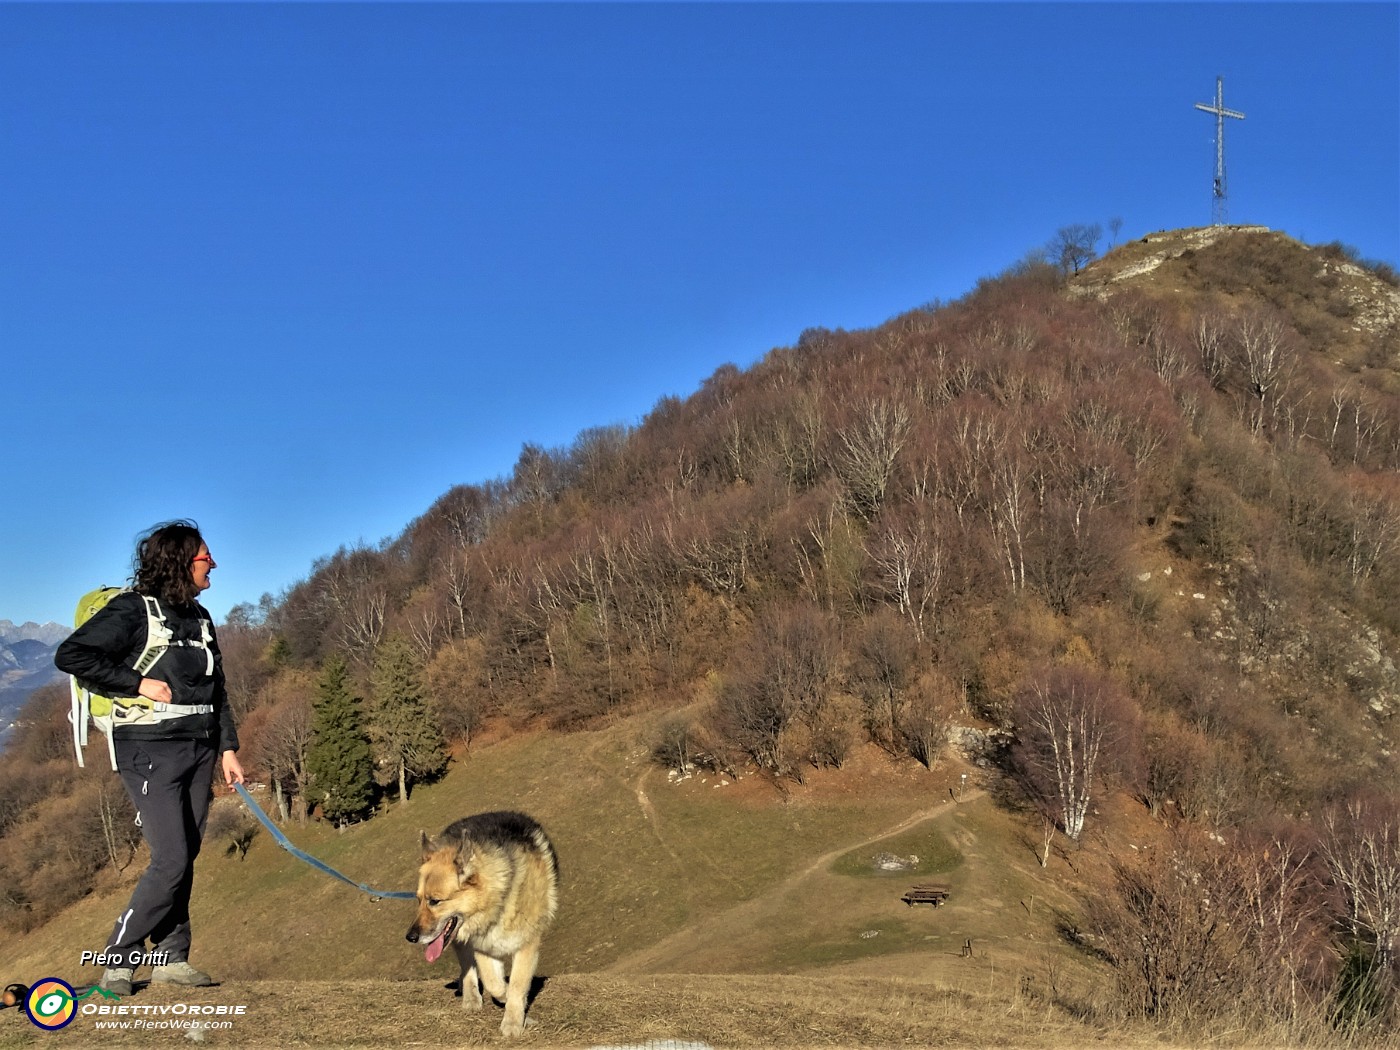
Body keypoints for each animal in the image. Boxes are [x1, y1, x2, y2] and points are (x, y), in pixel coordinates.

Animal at [406, 812, 557, 1036]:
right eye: (419, 900)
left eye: (435, 901)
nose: (410, 937)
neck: (498, 898)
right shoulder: (482, 945)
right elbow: (495, 984)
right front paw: (508, 1001)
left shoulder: (527, 944)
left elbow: (517, 984)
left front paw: (513, 1022)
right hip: (460, 940)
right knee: (467, 967)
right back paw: (471, 996)